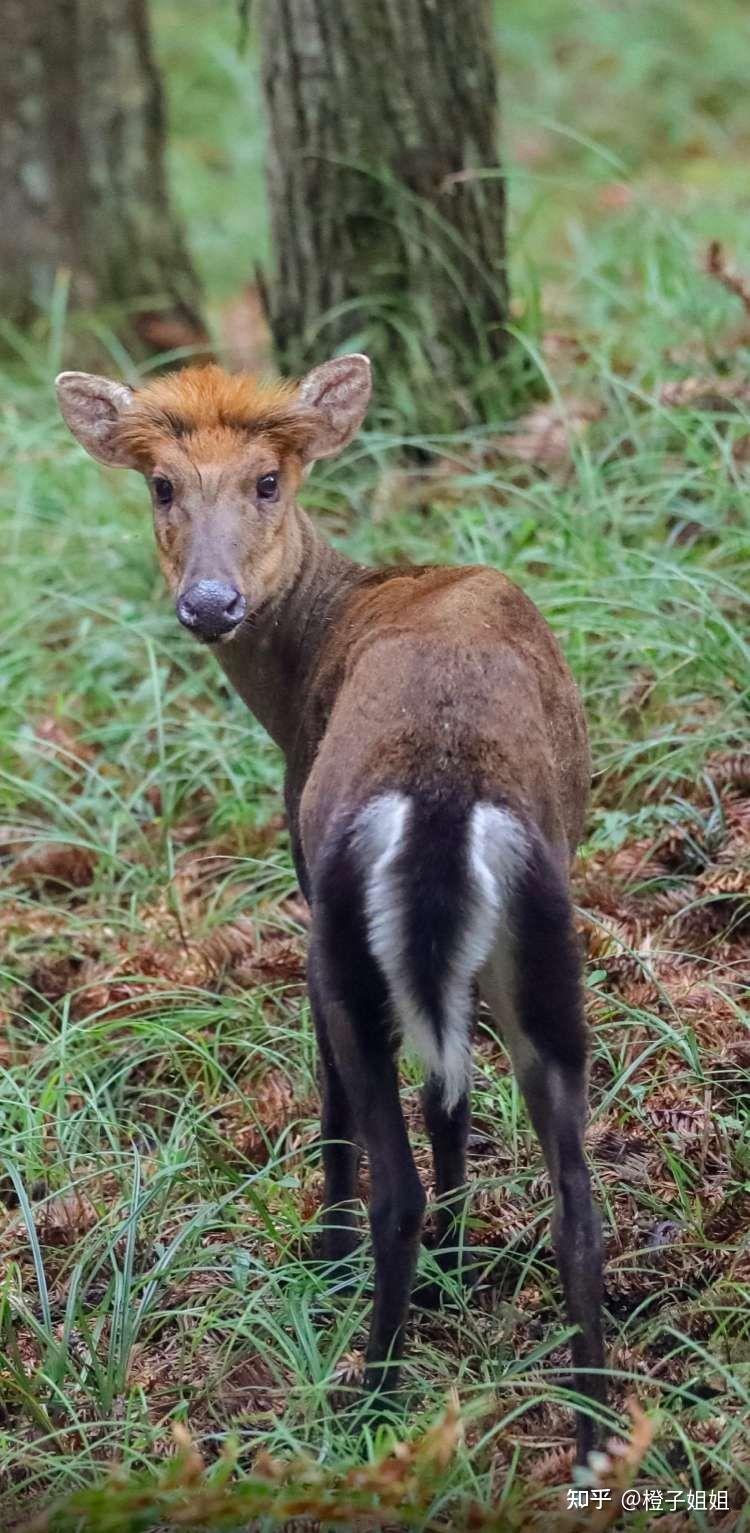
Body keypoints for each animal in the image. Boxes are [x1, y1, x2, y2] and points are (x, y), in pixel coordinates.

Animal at [59, 352, 607, 1453]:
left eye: (269, 480)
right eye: (162, 486)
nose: (210, 602)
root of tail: (444, 792)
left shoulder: (307, 885)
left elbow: (335, 1102)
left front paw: (334, 1249)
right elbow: (452, 1098)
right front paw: (459, 1267)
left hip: (347, 939)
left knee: (390, 1166)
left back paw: (370, 1395)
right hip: (543, 943)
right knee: (574, 1195)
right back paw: (597, 1426)